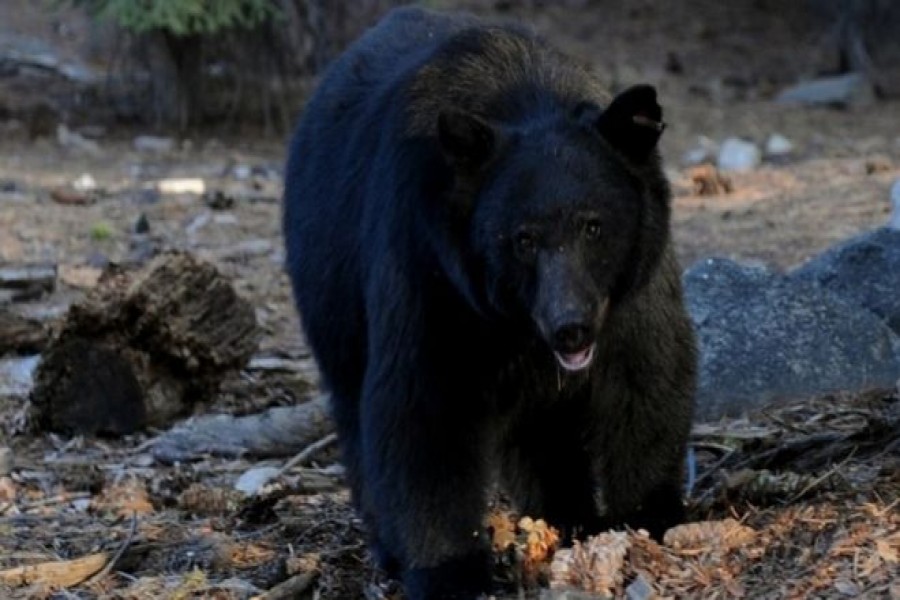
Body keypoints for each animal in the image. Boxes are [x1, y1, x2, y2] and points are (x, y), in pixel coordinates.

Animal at [282, 5, 696, 600]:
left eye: (594, 226)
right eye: (522, 239)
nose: (570, 327)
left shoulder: (632, 288)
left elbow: (646, 377)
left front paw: (647, 517)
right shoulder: (431, 270)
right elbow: (423, 409)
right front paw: (449, 571)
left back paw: (566, 515)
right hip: (329, 287)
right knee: (354, 406)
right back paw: (388, 546)